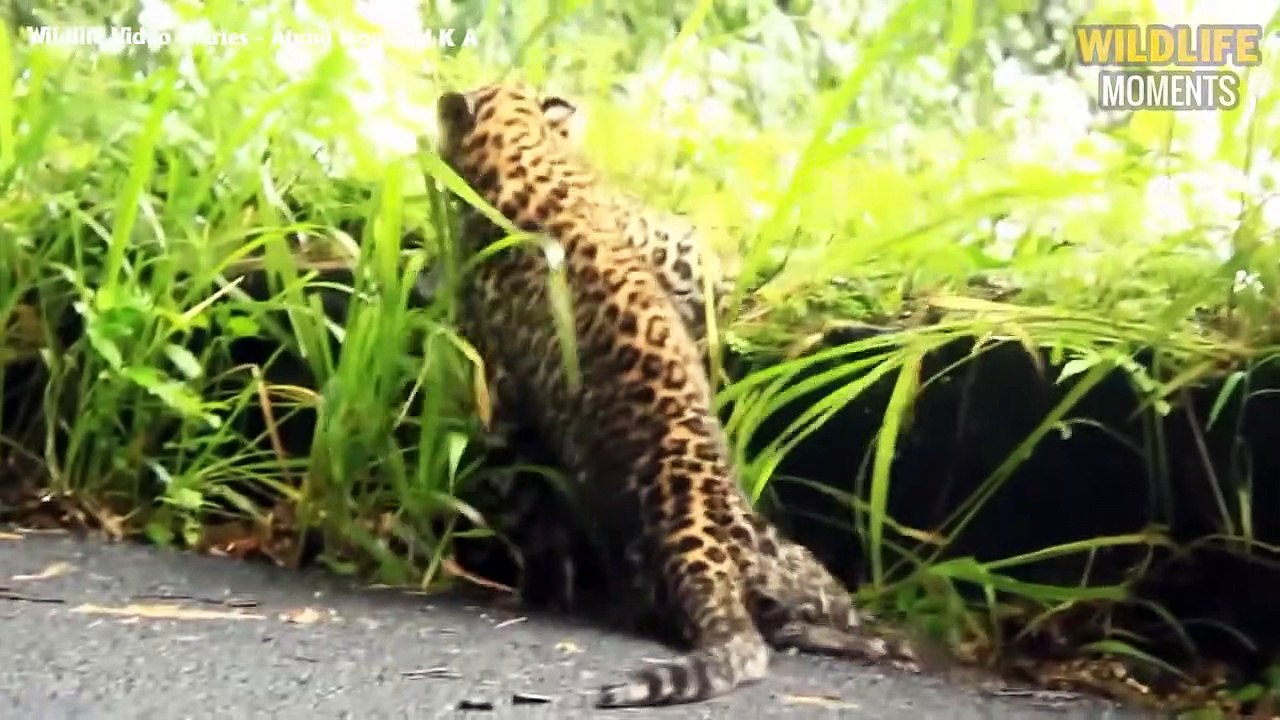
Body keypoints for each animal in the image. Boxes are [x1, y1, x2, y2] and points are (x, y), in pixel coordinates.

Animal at [435, 81, 920, 708]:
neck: (525, 148)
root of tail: (698, 523)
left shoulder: (501, 382)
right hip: (796, 568)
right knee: (809, 622)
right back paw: (887, 645)